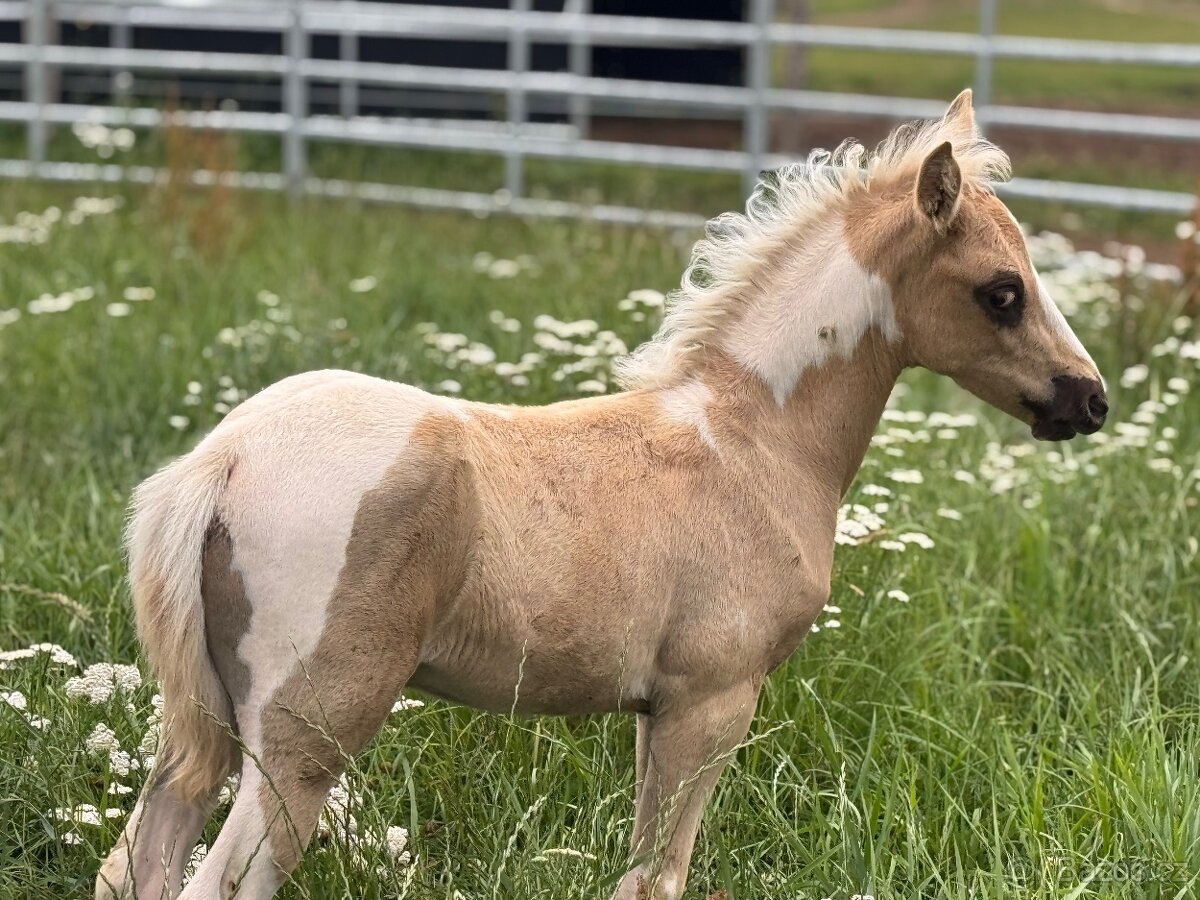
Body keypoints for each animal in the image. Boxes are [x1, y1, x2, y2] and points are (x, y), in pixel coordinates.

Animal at [97, 90, 1107, 900]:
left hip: (204, 728)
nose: (1088, 401)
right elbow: (658, 878)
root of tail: (223, 459)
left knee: (137, 861)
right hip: (306, 737)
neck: (751, 445)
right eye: (1002, 292)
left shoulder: (654, 713)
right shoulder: (712, 702)